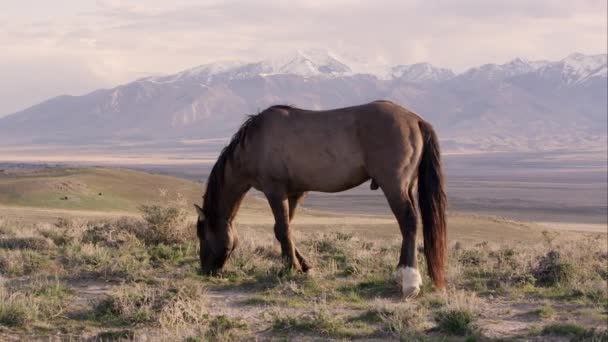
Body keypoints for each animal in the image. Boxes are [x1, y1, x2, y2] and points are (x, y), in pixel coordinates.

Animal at [195, 100, 446, 298]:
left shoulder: (274, 191)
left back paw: (409, 280)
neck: (254, 143)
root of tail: (416, 120)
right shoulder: (295, 193)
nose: (205, 270)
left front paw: (290, 267)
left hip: (394, 186)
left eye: (202, 234)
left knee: (409, 222)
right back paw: (400, 275)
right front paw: (302, 265)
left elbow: (282, 229)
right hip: (407, 186)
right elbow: (284, 229)